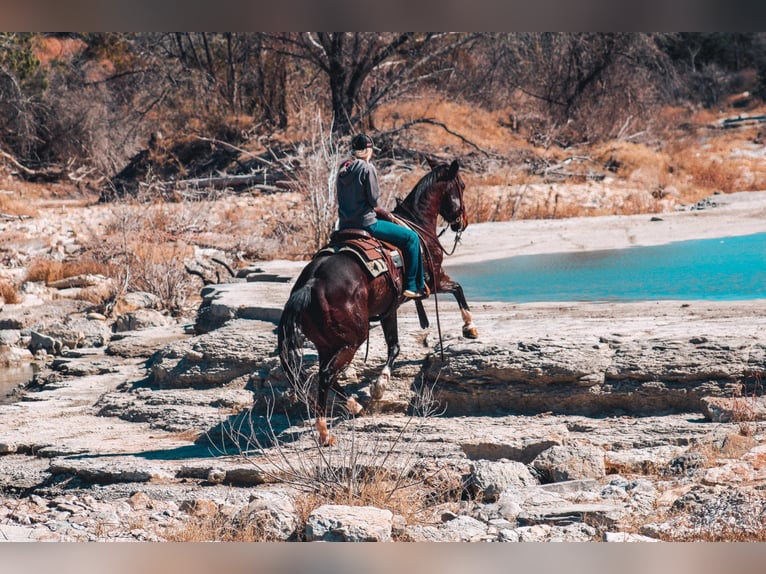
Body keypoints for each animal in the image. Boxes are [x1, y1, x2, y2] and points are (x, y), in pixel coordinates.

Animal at [280, 160, 476, 448]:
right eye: (461, 186)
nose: (462, 222)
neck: (418, 225)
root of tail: (311, 283)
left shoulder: (388, 310)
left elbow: (394, 346)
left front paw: (377, 386)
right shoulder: (436, 279)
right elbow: (459, 289)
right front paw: (469, 327)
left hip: (328, 343)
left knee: (327, 376)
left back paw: (354, 406)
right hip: (352, 340)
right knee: (326, 376)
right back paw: (325, 432)